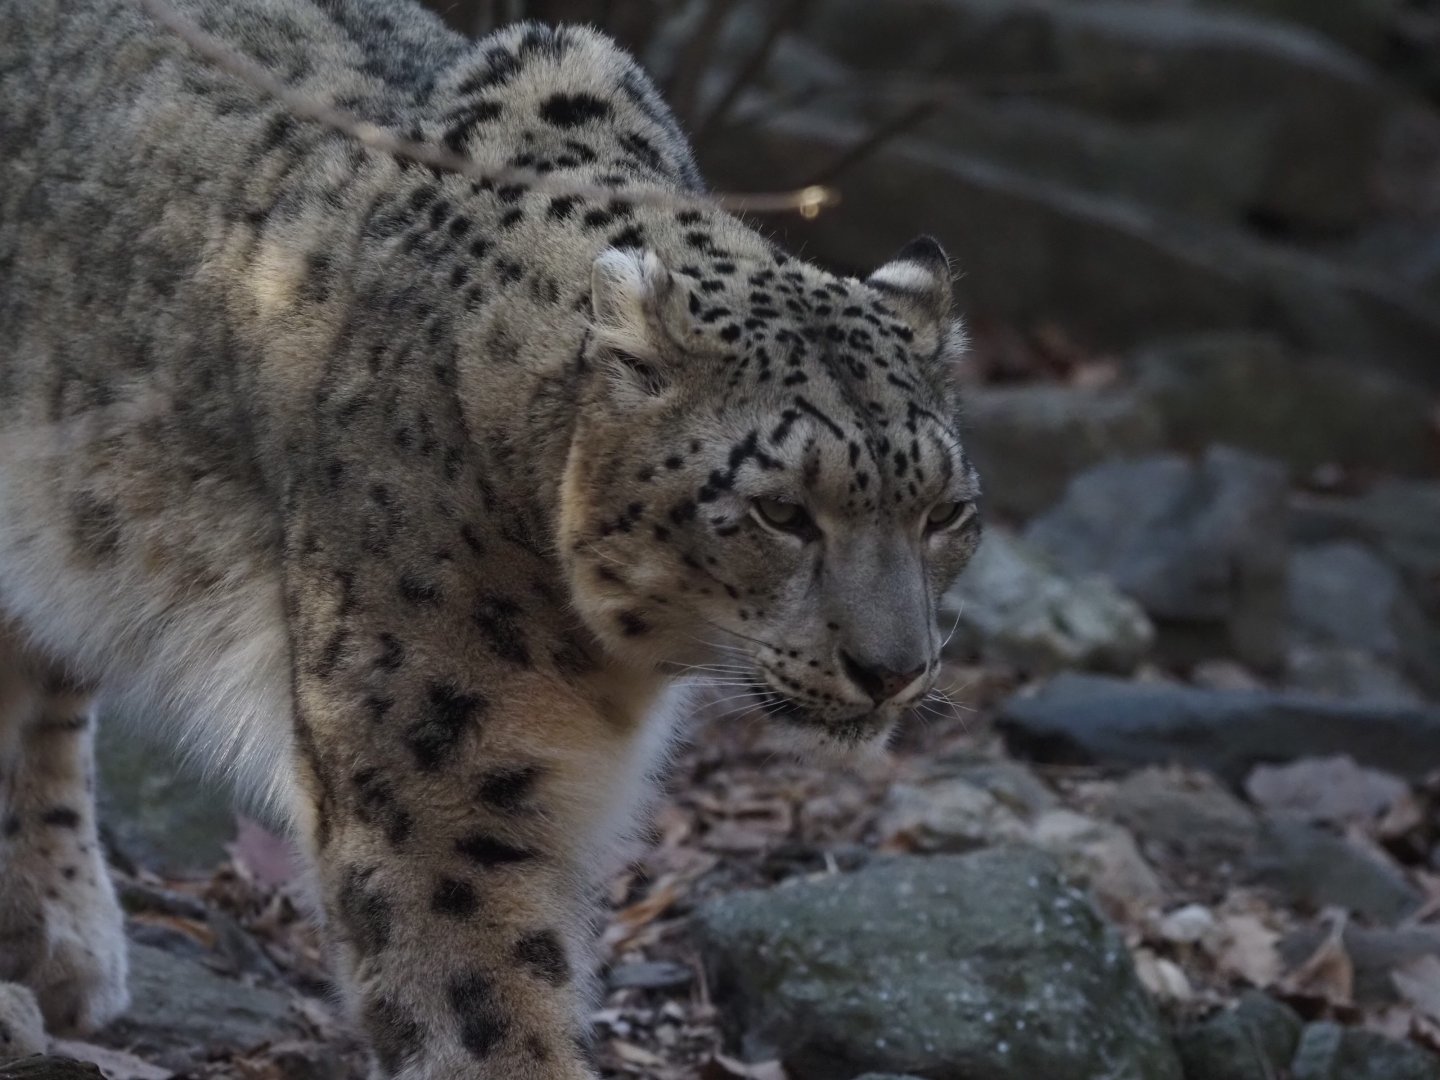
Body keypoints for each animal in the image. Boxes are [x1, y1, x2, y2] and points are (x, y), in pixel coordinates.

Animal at [0, 0, 983, 1075]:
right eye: (782, 511)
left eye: (945, 512)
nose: (895, 669)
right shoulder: (437, 772)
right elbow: (480, 999)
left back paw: (55, 934)